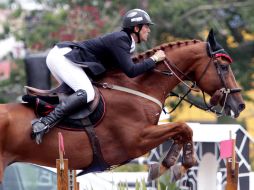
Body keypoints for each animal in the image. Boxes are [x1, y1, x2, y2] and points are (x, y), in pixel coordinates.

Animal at [0, 29, 244, 182]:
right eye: (223, 67)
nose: (240, 105)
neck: (138, 88)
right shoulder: (136, 141)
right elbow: (184, 128)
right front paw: (174, 167)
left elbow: (182, 131)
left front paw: (166, 166)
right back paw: (40, 127)